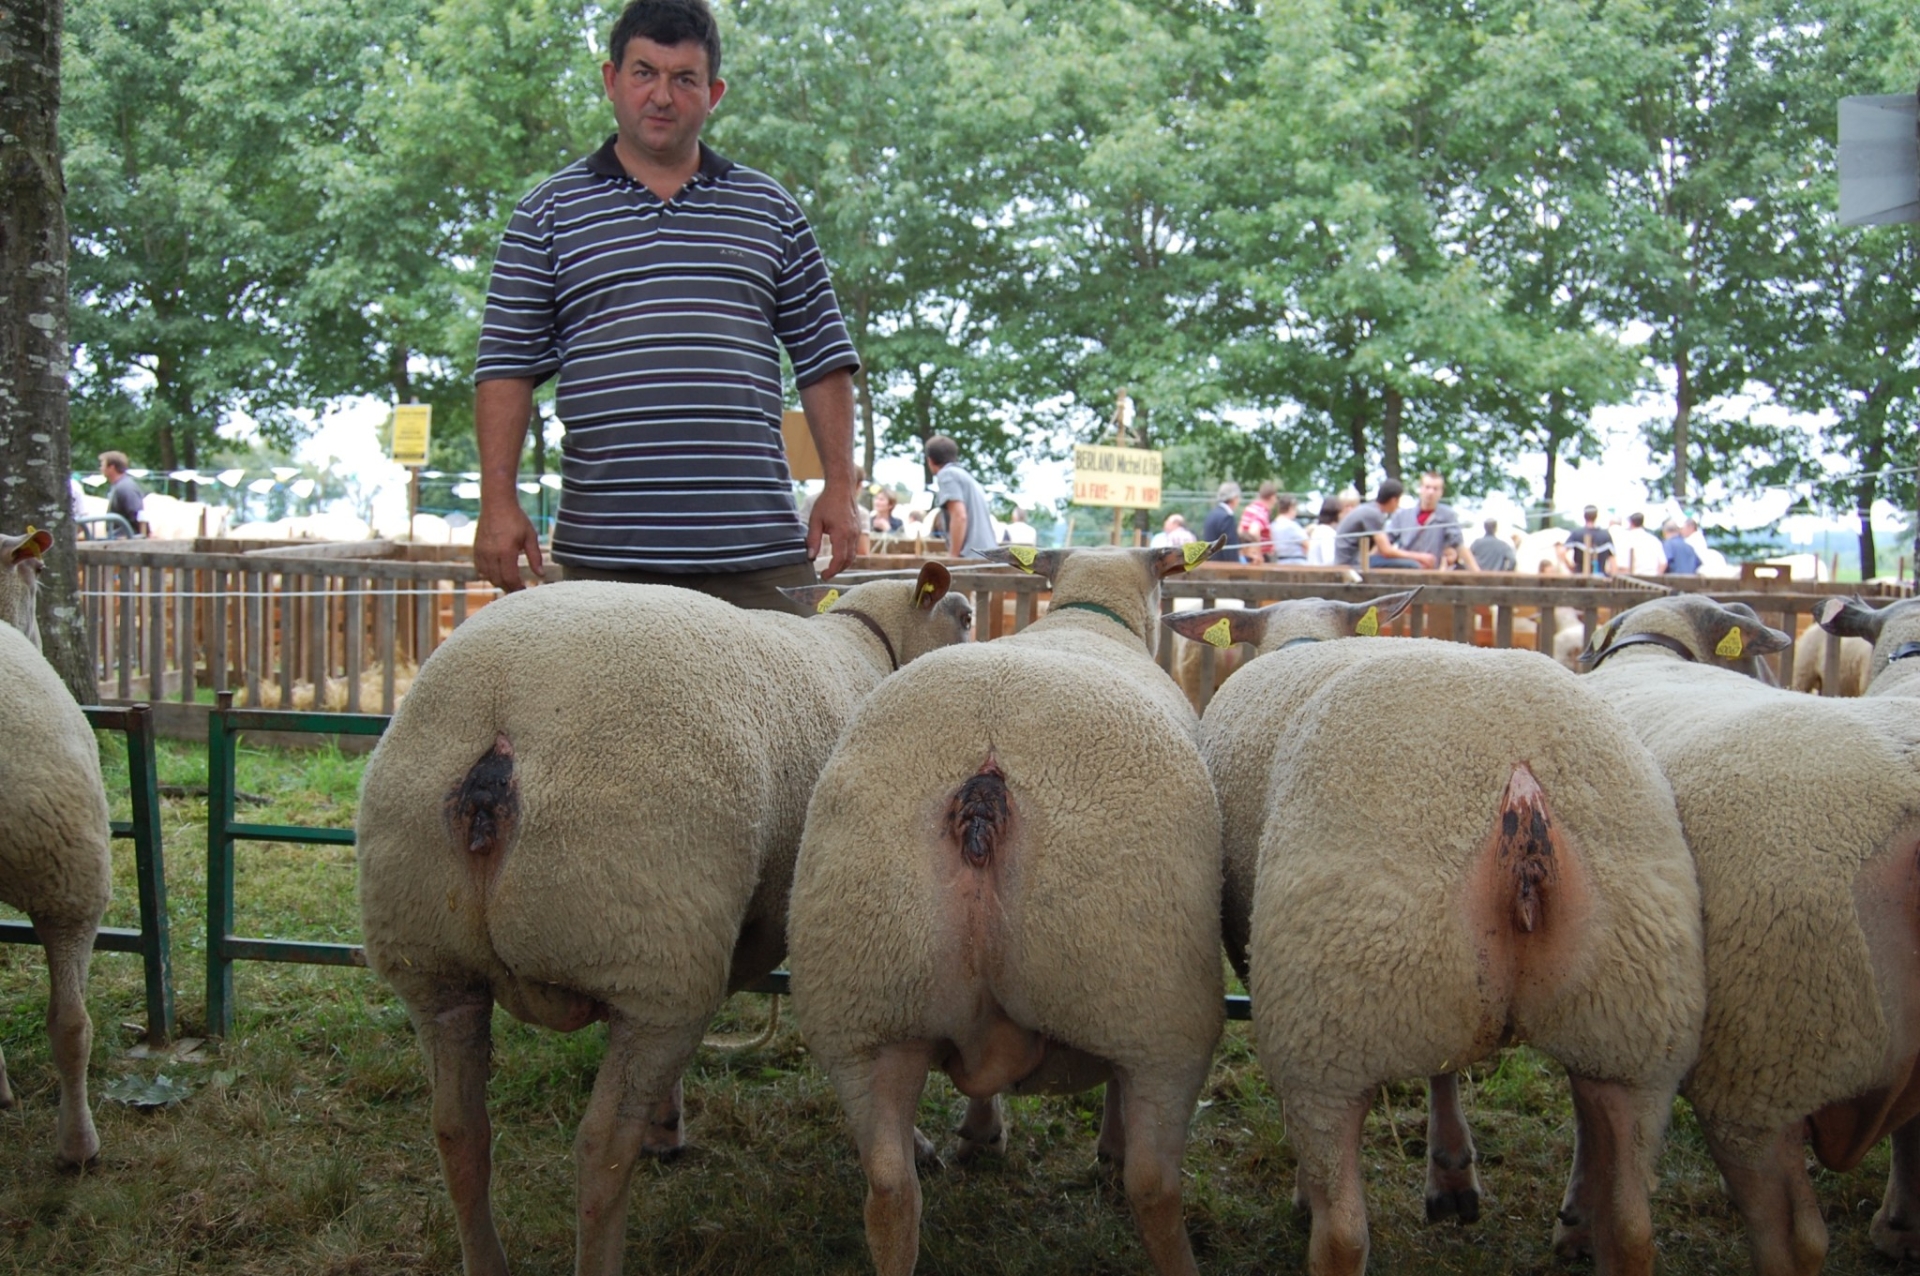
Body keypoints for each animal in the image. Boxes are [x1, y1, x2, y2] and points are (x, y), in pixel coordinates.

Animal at [353, 567, 967, 1274]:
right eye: (966, 616)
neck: (868, 645)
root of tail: (499, 734)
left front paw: (664, 1121)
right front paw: (916, 1142)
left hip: (430, 954)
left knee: (458, 1129)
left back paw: (487, 1257)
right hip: (655, 953)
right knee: (599, 1149)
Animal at [791, 541, 1228, 1274]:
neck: (1088, 615)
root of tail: (985, 776)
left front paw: (980, 1134)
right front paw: (1099, 1147)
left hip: (865, 996)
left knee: (889, 1190)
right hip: (1150, 1002)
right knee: (1153, 1185)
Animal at [1159, 598, 1704, 1274]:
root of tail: (1520, 779)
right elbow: (1444, 1069)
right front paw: (1451, 1174)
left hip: (1329, 1011)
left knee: (1343, 1228)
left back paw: (1316, 1209)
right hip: (1636, 1023)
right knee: (1632, 1226)